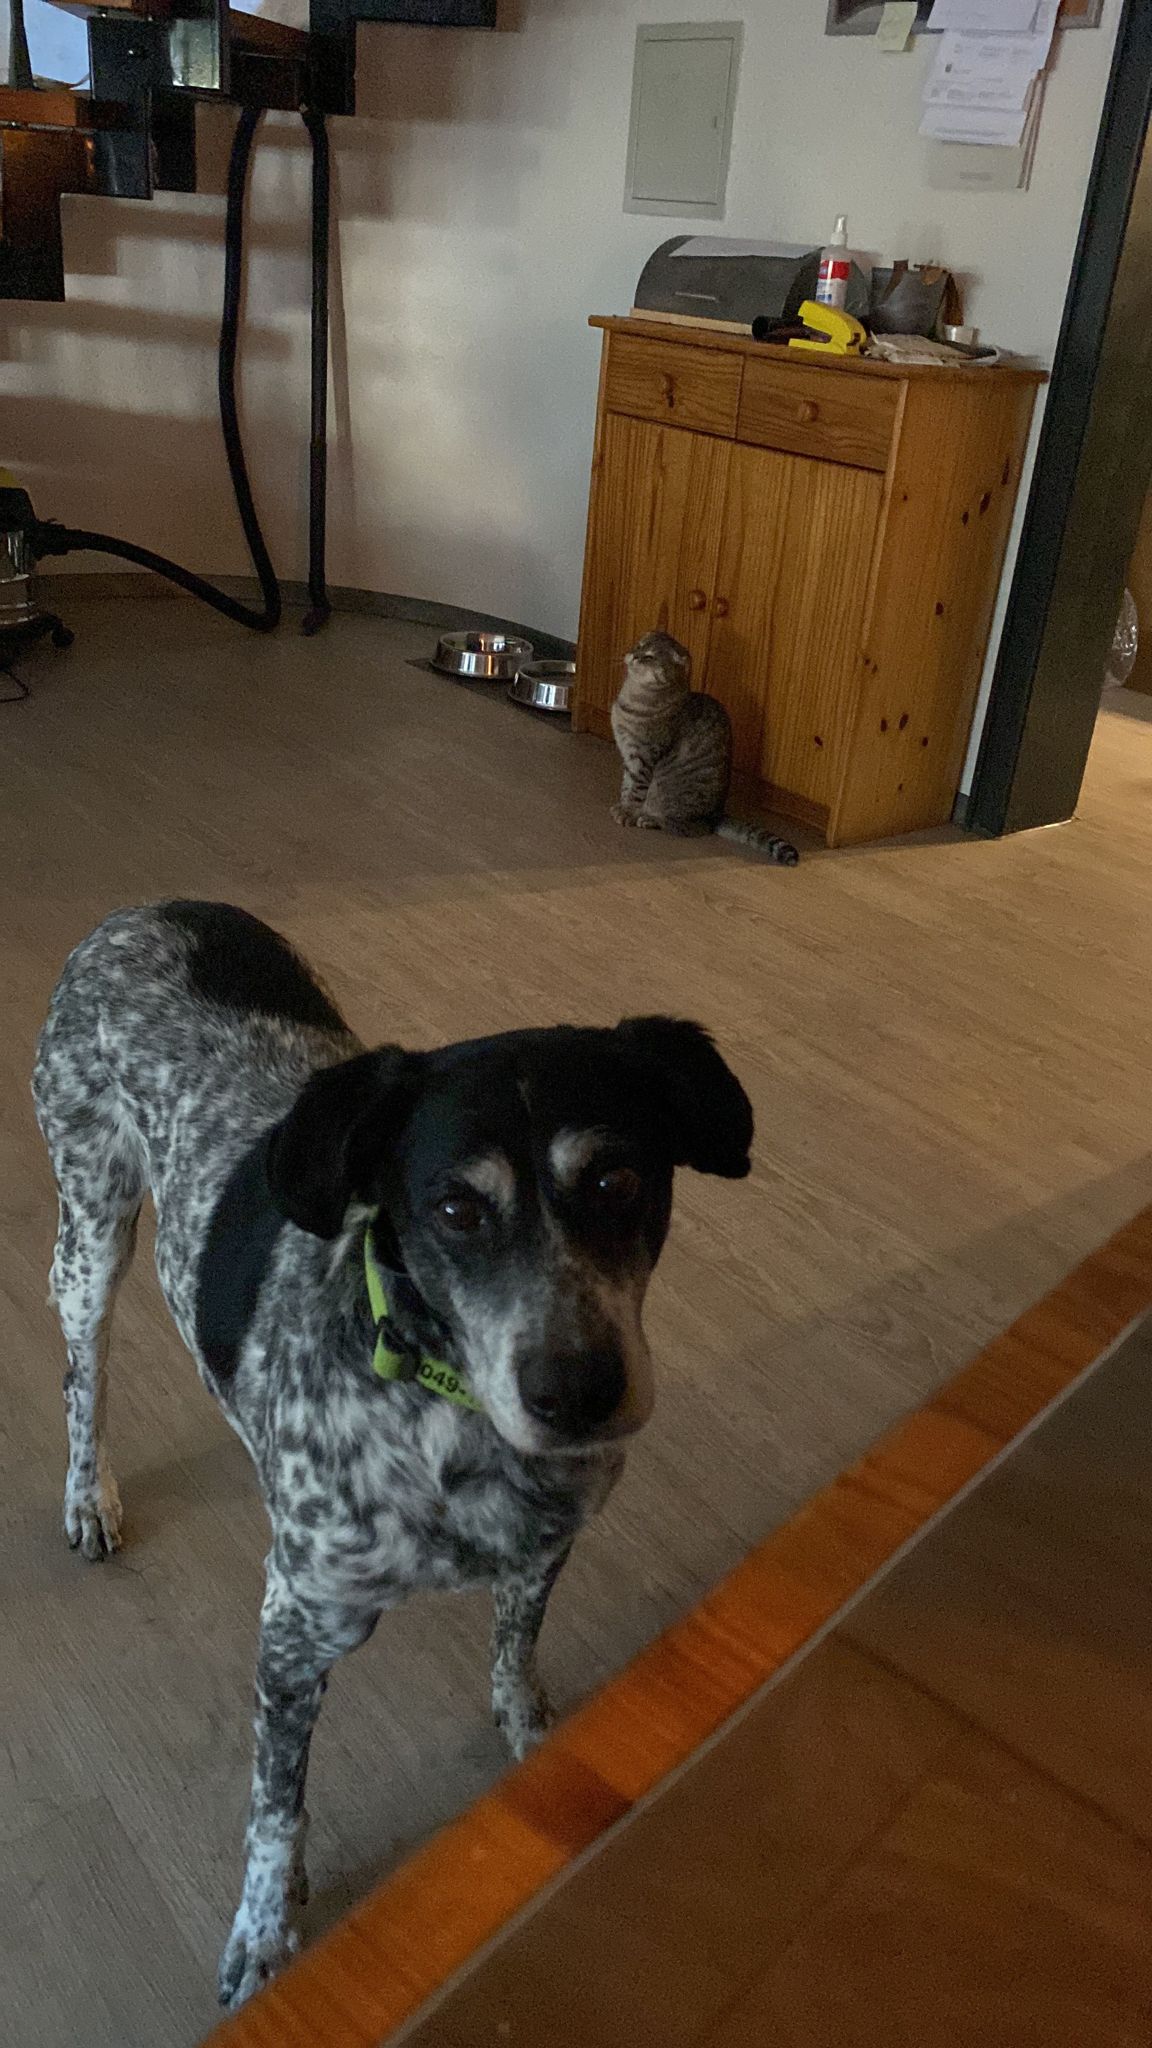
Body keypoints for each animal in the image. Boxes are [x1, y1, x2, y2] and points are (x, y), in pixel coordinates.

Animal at [32, 901, 753, 2007]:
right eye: (454, 1209)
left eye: (619, 1177)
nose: (578, 1391)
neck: (453, 1424)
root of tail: (149, 910)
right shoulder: (294, 1630)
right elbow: (276, 1806)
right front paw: (265, 1929)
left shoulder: (544, 1548)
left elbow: (516, 1650)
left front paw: (537, 1739)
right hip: (91, 1227)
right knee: (84, 1374)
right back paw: (88, 1495)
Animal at [610, 631, 800, 866]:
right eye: (638, 646)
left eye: (650, 656)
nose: (634, 655)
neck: (632, 699)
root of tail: (717, 815)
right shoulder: (628, 755)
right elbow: (626, 785)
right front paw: (621, 805)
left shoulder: (643, 756)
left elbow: (636, 789)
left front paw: (627, 812)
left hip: (673, 802)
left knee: (691, 828)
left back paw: (649, 819)